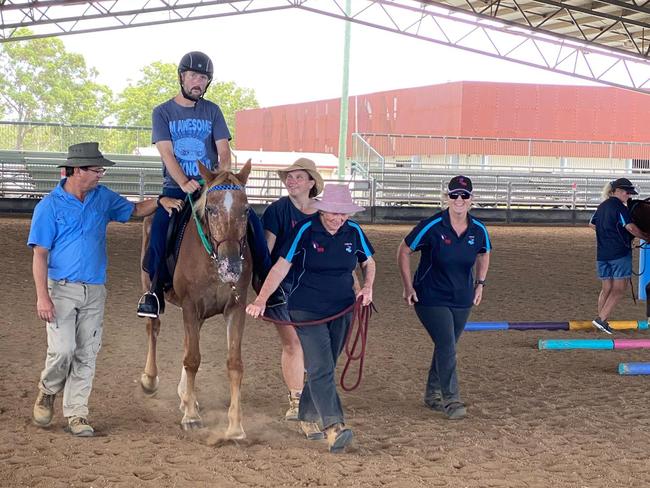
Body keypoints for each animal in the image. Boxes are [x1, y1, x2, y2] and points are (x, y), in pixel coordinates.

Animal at [139, 161, 251, 438]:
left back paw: (185, 396)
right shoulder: (190, 305)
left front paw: (235, 426)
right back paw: (150, 380)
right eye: (210, 209)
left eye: (246, 210)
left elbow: (234, 363)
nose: (231, 266)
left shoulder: (236, 307)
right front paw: (191, 417)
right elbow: (192, 359)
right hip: (150, 288)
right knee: (153, 328)